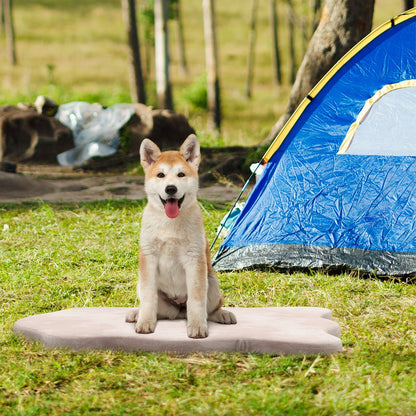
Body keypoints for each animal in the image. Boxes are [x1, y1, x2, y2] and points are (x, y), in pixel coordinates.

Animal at [126, 133, 237, 338]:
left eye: (181, 175)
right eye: (160, 175)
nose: (170, 189)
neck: (170, 223)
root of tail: (178, 309)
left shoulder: (194, 260)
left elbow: (196, 300)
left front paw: (197, 327)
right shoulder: (148, 258)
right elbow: (148, 298)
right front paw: (144, 322)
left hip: (212, 282)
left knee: (210, 310)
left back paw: (222, 315)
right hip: (147, 287)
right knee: (160, 311)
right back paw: (136, 314)